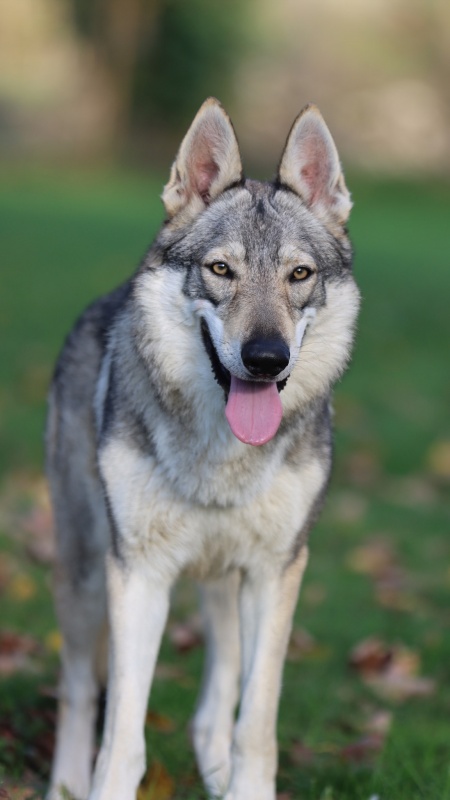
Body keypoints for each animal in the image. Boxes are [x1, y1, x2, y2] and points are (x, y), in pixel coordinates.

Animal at [46, 98, 358, 800]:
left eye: (299, 275)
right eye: (221, 270)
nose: (266, 358)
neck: (223, 459)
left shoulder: (275, 572)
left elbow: (255, 722)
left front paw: (245, 787)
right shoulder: (137, 575)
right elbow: (122, 739)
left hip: (223, 582)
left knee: (214, 709)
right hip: (84, 575)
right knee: (78, 693)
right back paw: (65, 785)